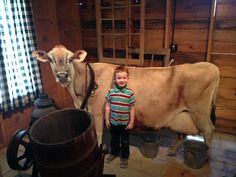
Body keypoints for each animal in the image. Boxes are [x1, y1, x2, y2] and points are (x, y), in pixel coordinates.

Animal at [32, 45, 219, 156]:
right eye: (50, 59)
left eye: (70, 58)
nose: (62, 76)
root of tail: (210, 66)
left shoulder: (98, 112)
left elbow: (98, 133)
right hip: (186, 113)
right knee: (183, 133)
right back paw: (172, 151)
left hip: (200, 111)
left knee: (209, 130)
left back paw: (207, 158)